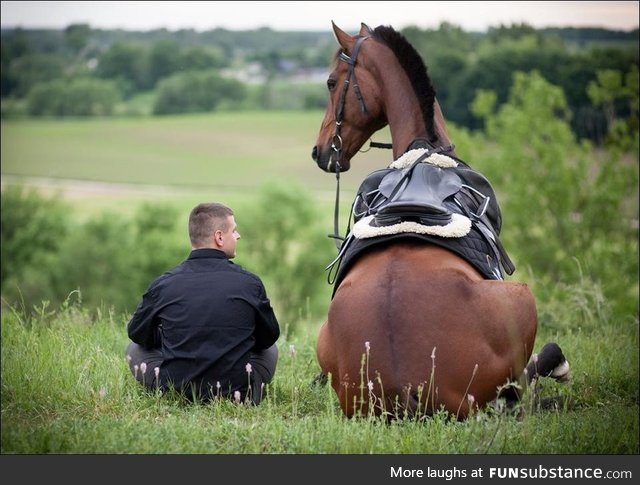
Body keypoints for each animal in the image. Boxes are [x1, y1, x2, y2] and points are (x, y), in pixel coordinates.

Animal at [310, 20, 568, 418]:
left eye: (331, 82)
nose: (320, 151)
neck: (423, 150)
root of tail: (403, 388)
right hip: (521, 300)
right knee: (523, 383)